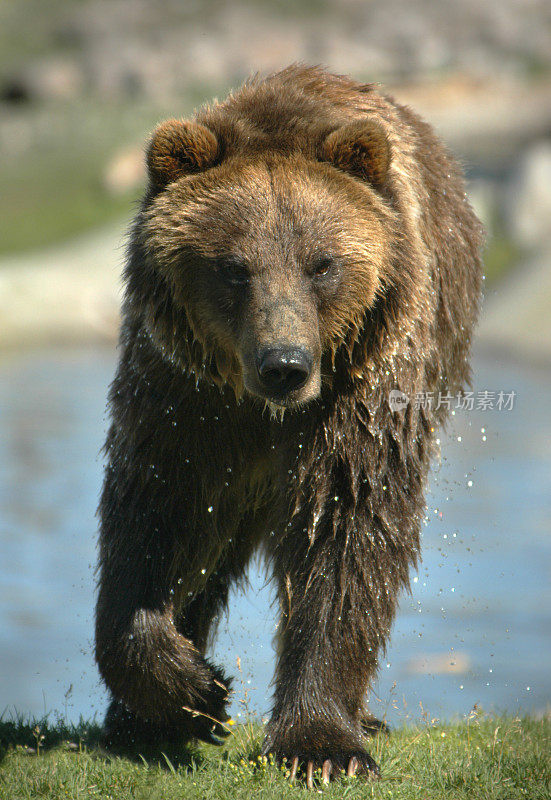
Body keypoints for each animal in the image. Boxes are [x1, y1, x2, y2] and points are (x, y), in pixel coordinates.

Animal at [95, 65, 484, 784]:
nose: (284, 364)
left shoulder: (359, 393)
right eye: (232, 267)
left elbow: (346, 531)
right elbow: (153, 516)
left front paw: (321, 745)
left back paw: (364, 717)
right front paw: (193, 689)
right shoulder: (182, 398)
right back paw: (139, 719)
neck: (260, 409)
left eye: (322, 263)